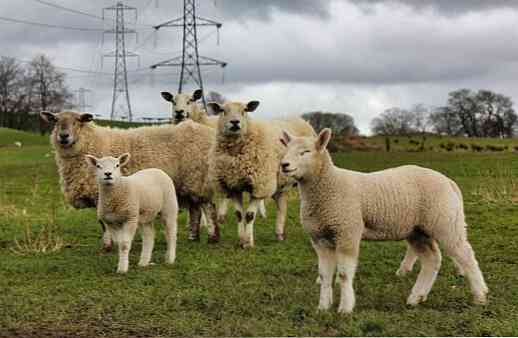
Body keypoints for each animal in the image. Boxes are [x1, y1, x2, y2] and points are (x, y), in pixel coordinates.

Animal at [39, 111, 220, 248]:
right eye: (56, 121)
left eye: (78, 121)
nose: (63, 136)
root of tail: (207, 132)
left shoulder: (102, 193)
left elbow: (103, 222)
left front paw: (107, 245)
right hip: (190, 182)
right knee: (195, 209)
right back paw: (193, 237)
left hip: (198, 177)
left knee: (208, 207)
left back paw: (212, 237)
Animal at [208, 99, 316, 247]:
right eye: (222, 110)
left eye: (245, 110)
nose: (235, 122)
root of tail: (301, 119)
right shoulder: (233, 186)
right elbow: (239, 214)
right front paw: (241, 239)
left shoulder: (260, 186)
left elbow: (249, 215)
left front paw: (248, 243)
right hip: (280, 182)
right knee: (282, 204)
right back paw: (279, 233)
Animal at [282, 128, 490, 312]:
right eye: (285, 150)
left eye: (305, 152)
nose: (284, 165)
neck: (328, 185)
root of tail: (448, 181)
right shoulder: (320, 238)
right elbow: (325, 276)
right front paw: (323, 307)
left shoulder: (347, 231)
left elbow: (344, 274)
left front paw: (345, 308)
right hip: (417, 229)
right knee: (432, 259)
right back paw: (416, 297)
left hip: (444, 222)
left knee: (466, 255)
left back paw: (480, 295)